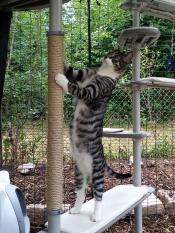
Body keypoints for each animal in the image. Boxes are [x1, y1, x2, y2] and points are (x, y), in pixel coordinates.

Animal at [55, 50, 132, 222]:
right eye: (111, 52)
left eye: (116, 57)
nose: (107, 56)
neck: (103, 73)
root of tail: (102, 159)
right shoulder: (84, 74)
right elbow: (72, 71)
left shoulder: (93, 91)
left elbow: (74, 87)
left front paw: (61, 79)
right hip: (79, 172)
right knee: (81, 192)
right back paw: (76, 209)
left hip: (97, 172)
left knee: (99, 194)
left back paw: (97, 215)